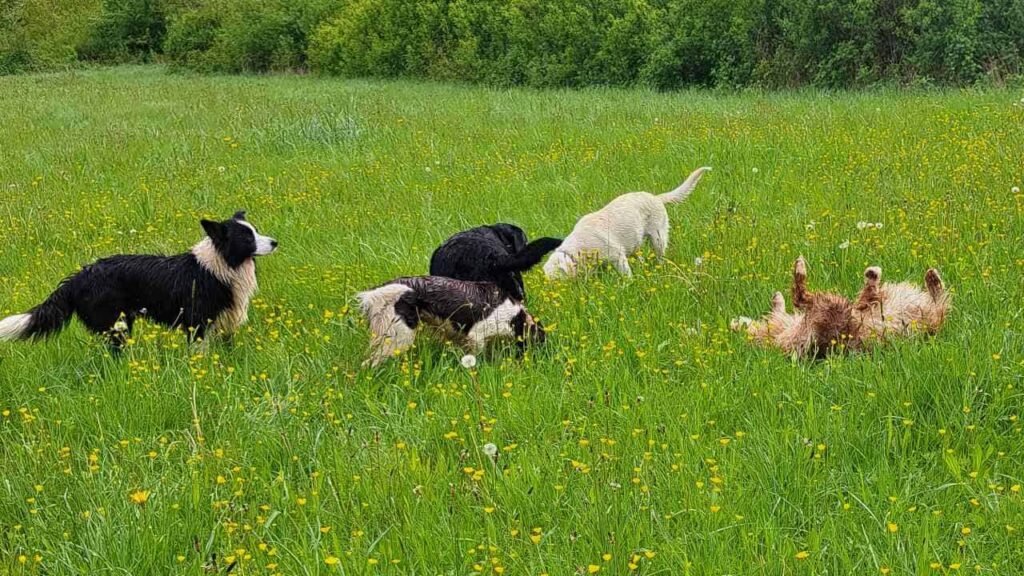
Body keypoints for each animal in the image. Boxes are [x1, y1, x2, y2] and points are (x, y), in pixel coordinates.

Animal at [0, 211, 278, 344]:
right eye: (246, 238)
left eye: (255, 231)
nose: (275, 242)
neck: (221, 264)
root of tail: (81, 274)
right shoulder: (197, 323)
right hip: (116, 325)